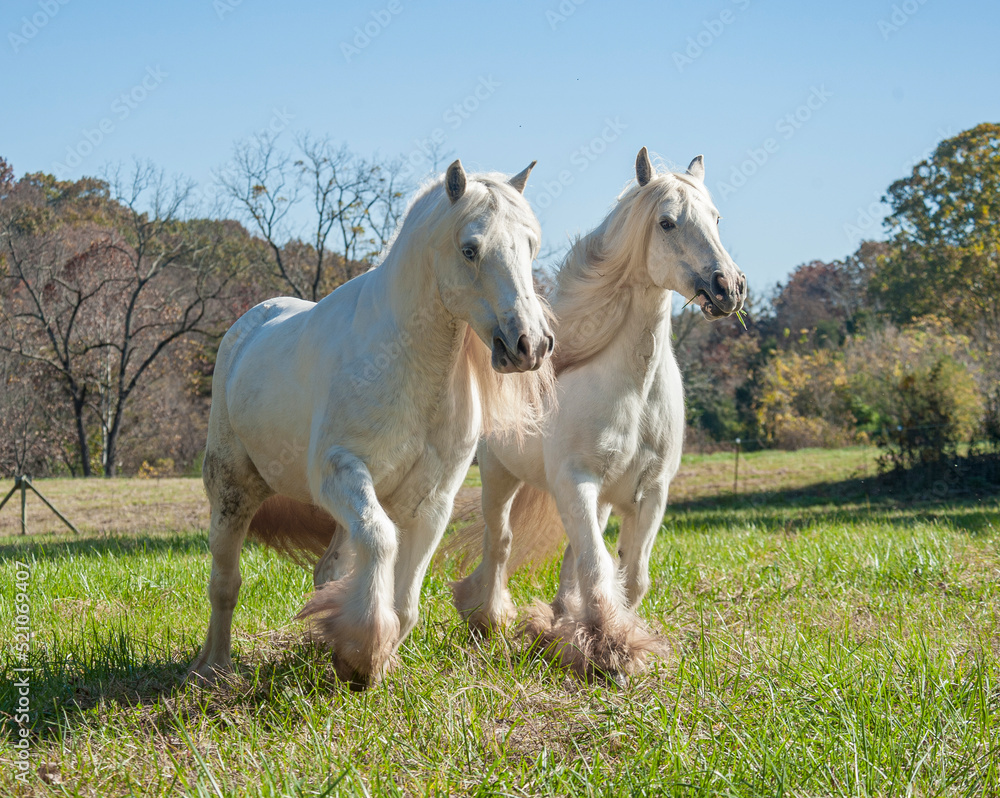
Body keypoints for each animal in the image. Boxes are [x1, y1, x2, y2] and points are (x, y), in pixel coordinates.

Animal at [189, 159, 555, 688]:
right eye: (470, 248)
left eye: (531, 245)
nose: (529, 344)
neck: (408, 363)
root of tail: (247, 327)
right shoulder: (341, 471)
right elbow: (382, 541)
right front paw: (361, 654)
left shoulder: (431, 501)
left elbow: (404, 602)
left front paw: (367, 657)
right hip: (233, 492)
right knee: (225, 582)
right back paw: (214, 668)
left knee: (328, 569)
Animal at [450, 147, 747, 682]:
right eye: (667, 222)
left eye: (715, 218)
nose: (728, 288)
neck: (633, 390)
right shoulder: (577, 482)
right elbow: (597, 568)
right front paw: (612, 652)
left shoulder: (648, 493)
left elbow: (629, 577)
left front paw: (600, 639)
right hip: (501, 477)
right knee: (500, 541)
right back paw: (487, 619)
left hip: (598, 499)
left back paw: (556, 620)